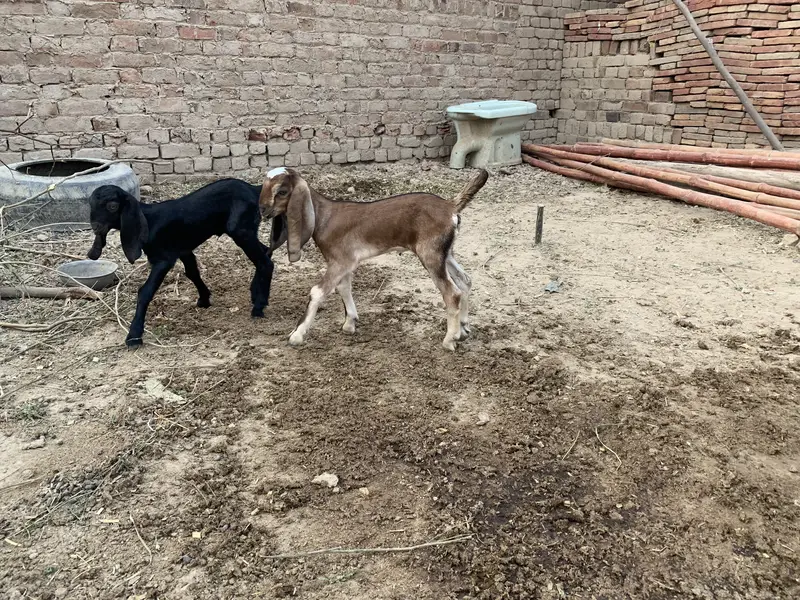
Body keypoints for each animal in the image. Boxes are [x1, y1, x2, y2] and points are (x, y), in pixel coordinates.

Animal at [87, 179, 278, 347]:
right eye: (90, 205)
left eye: (112, 206)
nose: (95, 227)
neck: (148, 220)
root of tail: (254, 188)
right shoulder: (183, 250)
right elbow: (192, 273)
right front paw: (204, 299)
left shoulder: (163, 259)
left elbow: (145, 292)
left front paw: (134, 336)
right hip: (246, 231)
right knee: (266, 251)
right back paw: (255, 293)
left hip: (240, 230)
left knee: (265, 262)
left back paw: (259, 306)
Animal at [260, 167, 489, 351]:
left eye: (282, 191)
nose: (262, 209)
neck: (324, 217)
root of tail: (450, 207)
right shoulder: (345, 262)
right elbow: (344, 287)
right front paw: (350, 323)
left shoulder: (340, 261)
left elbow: (317, 292)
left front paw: (297, 335)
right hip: (445, 253)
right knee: (465, 281)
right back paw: (464, 329)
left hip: (431, 254)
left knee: (452, 293)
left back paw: (450, 339)